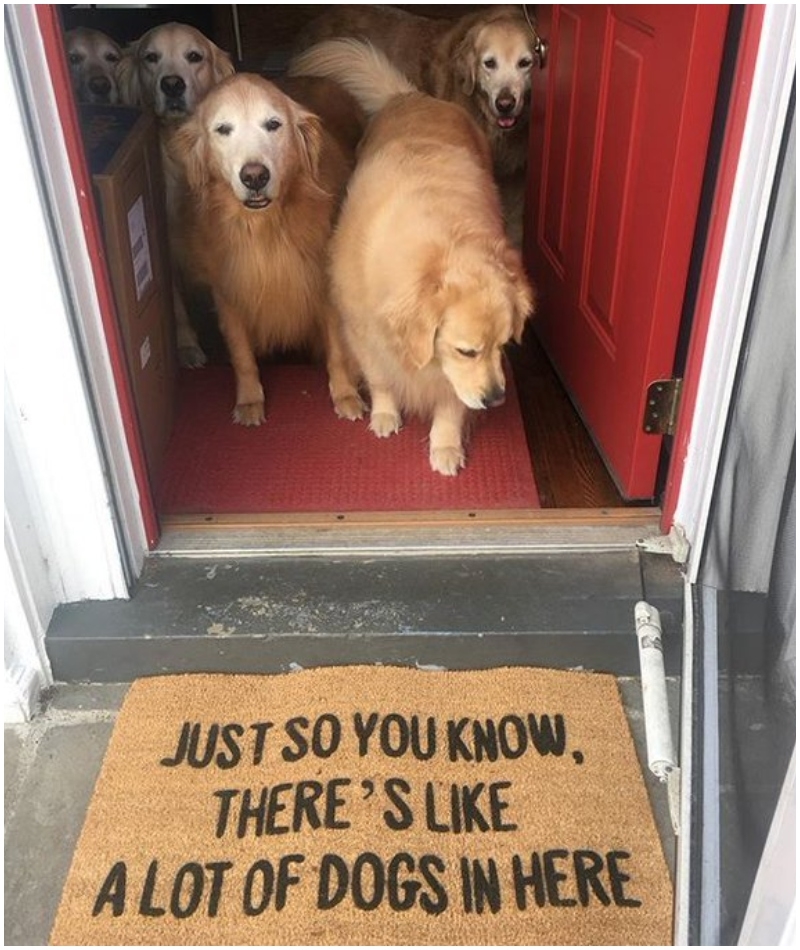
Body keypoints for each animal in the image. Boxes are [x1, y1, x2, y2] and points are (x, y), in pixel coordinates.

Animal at [116, 21, 234, 372]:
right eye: (150, 58)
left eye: (194, 56)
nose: (171, 84)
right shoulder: (164, 240)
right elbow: (175, 303)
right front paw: (186, 345)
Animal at [170, 74, 368, 428]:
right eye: (222, 129)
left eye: (273, 124)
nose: (255, 176)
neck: (266, 229)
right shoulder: (229, 293)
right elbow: (241, 356)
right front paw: (250, 400)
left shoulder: (323, 286)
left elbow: (336, 350)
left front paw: (345, 395)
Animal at [290, 41, 536, 480]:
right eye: (467, 351)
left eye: (504, 345)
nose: (495, 399)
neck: (442, 244)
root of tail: (412, 97)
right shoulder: (364, 331)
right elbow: (381, 379)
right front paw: (386, 414)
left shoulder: (447, 374)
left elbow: (451, 402)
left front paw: (446, 444)